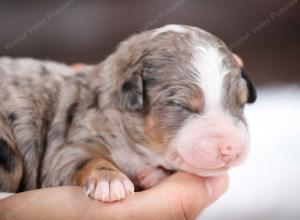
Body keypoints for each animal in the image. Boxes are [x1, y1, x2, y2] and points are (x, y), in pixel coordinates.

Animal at [0, 24, 255, 202]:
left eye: (242, 102)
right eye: (180, 104)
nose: (232, 148)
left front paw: (154, 175)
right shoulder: (65, 148)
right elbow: (83, 159)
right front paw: (110, 181)